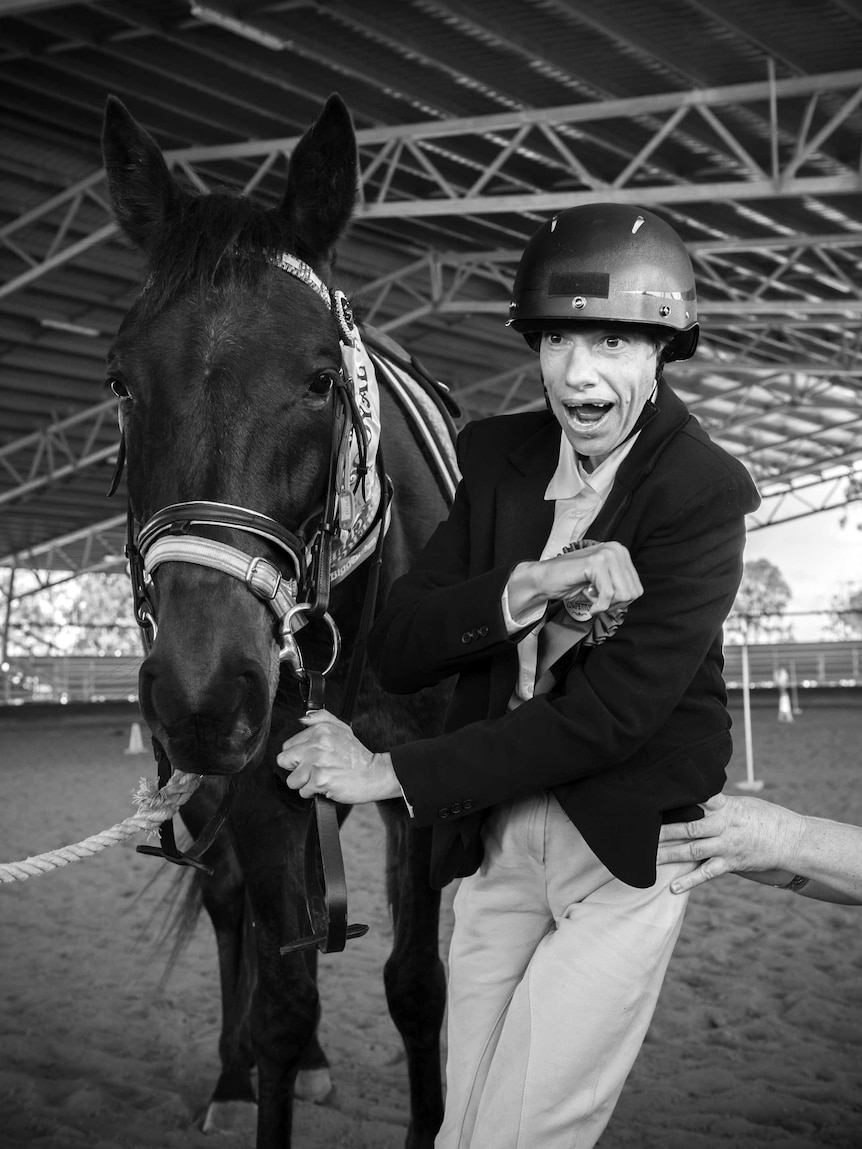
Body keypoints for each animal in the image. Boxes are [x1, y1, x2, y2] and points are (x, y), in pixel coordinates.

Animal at [100, 91, 459, 1149]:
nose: (204, 693)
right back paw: (238, 1076)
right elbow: (282, 990)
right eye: (123, 381)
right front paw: (261, 1067)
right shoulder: (258, 786)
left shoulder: (419, 781)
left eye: (319, 381)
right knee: (235, 914)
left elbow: (415, 983)